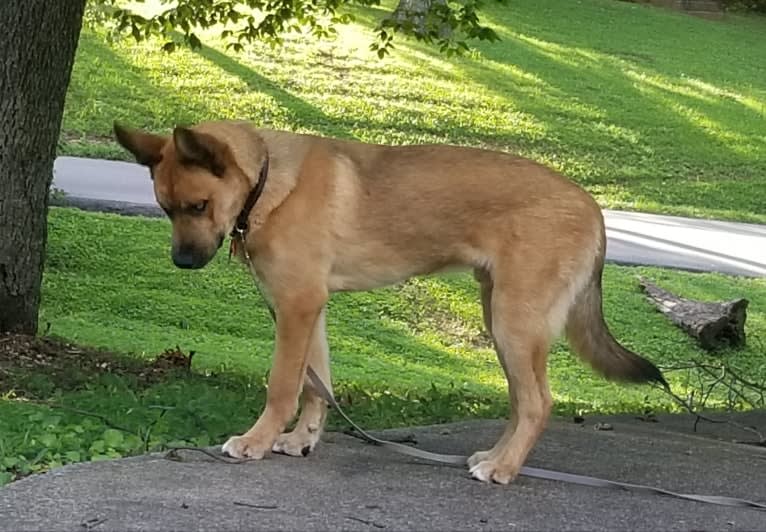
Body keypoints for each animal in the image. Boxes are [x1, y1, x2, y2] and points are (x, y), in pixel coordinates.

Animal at [112, 121, 664, 486]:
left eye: (198, 206)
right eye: (166, 210)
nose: (183, 262)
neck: (268, 183)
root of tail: (594, 208)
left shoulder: (295, 306)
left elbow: (283, 386)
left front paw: (257, 441)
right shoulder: (309, 310)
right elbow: (317, 384)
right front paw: (302, 439)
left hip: (514, 322)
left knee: (538, 402)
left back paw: (504, 468)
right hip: (500, 319)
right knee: (521, 400)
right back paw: (495, 455)